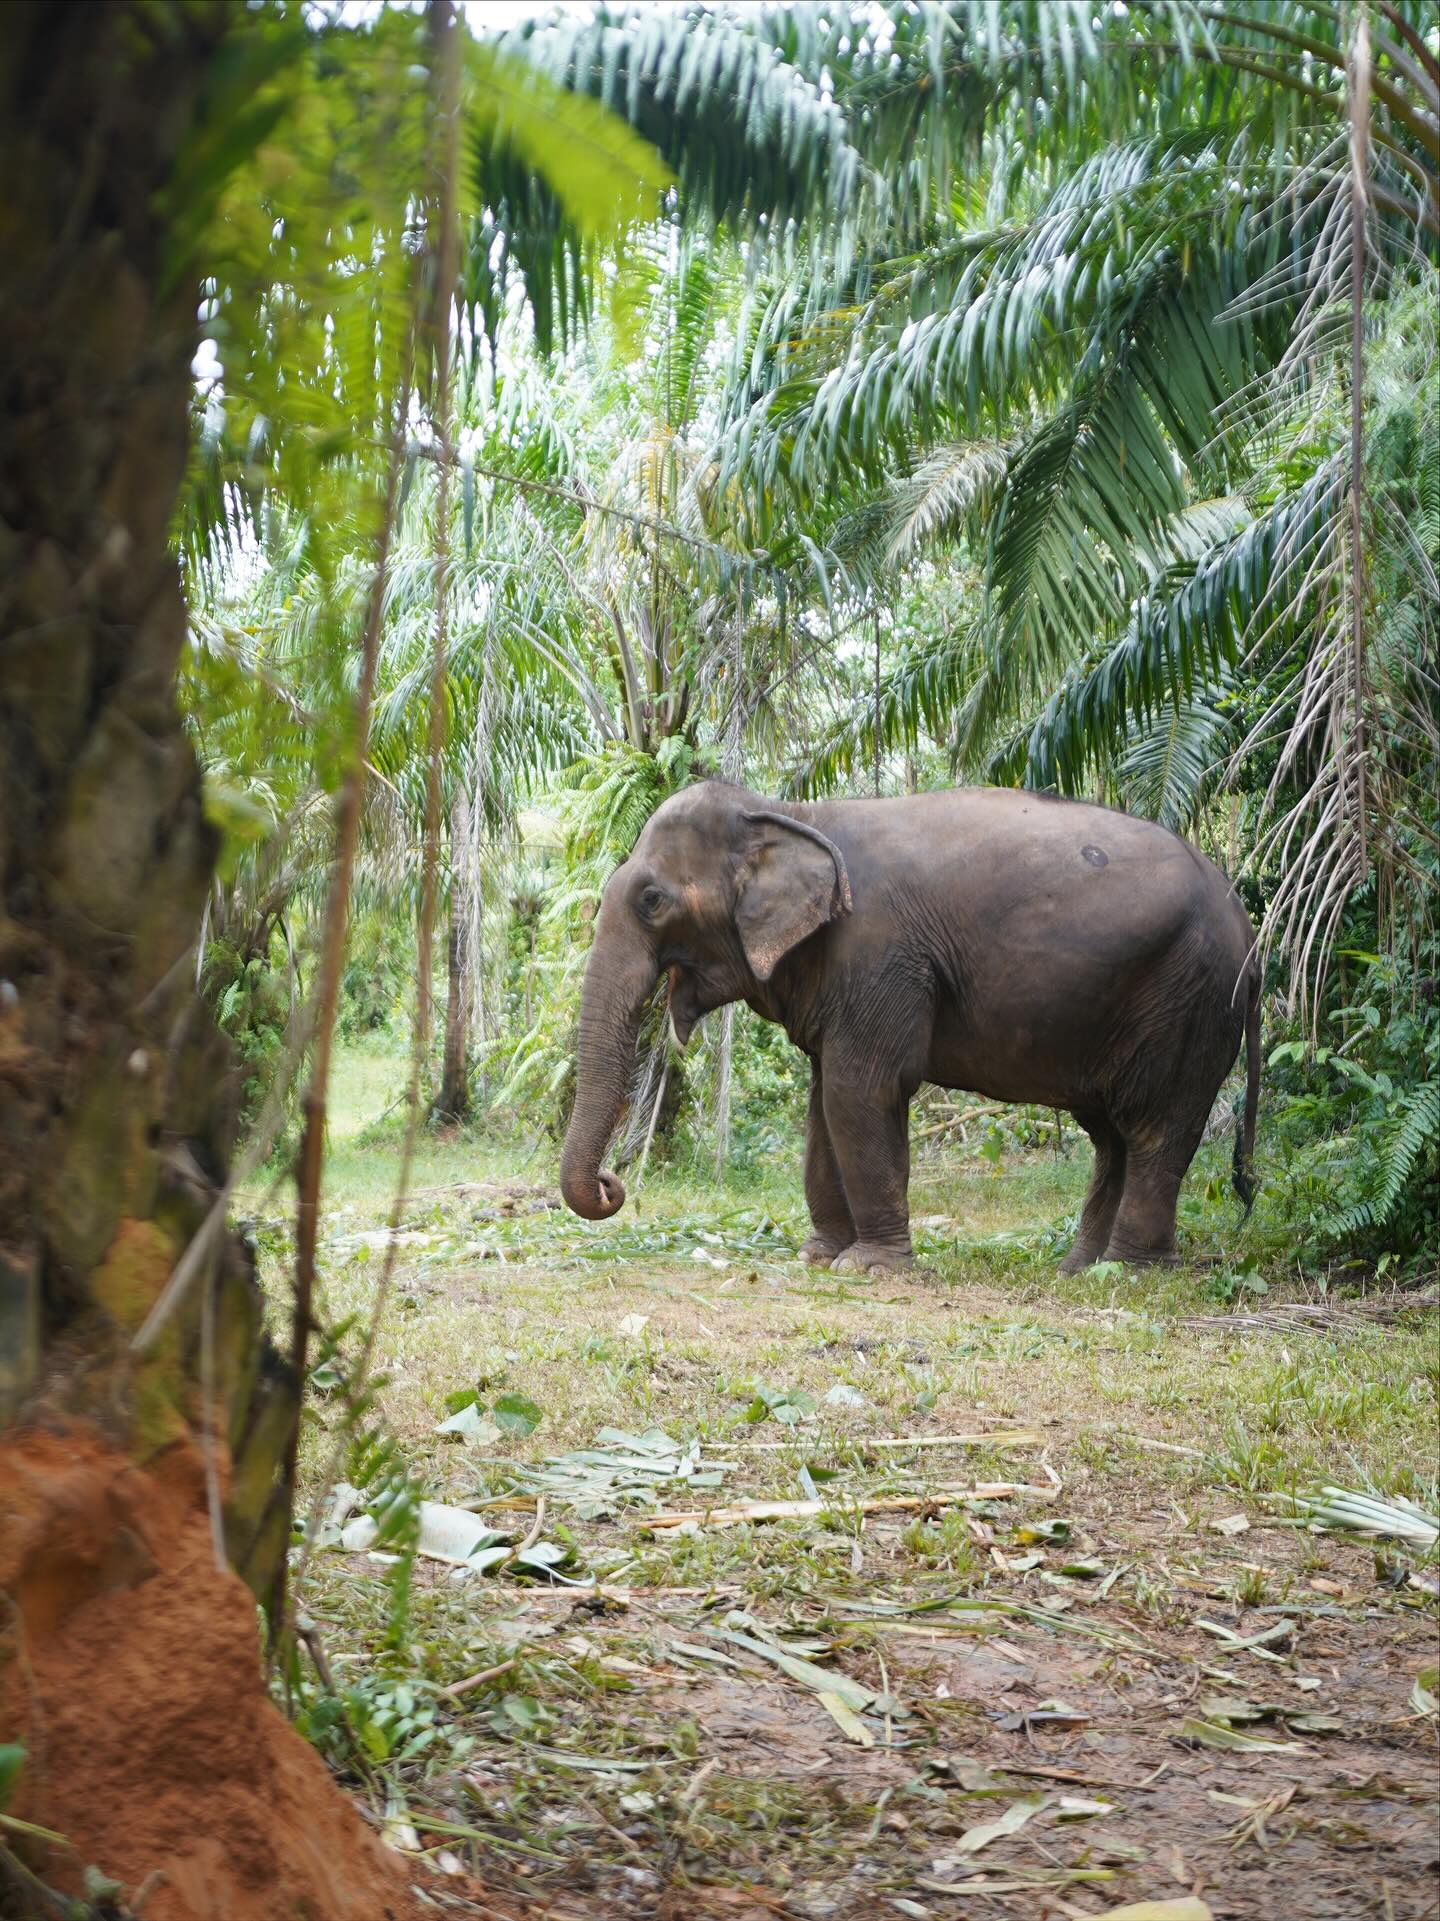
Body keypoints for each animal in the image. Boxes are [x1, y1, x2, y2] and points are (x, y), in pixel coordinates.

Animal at [559, 780, 1260, 1274]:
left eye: (652, 900)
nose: (613, 1182)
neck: (790, 812)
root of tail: (1252, 935)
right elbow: (822, 1100)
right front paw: (820, 1256)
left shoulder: (879, 954)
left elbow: (859, 1090)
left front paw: (868, 1268)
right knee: (1111, 1136)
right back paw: (1078, 1269)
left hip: (1189, 997)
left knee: (1154, 1128)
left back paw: (1128, 1272)